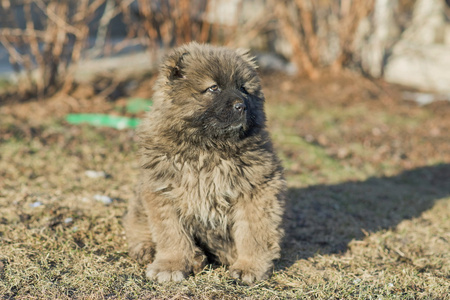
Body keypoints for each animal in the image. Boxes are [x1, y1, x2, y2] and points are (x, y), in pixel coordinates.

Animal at [124, 42, 284, 284]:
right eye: (213, 88)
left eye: (244, 89)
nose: (242, 106)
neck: (209, 148)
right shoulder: (164, 192)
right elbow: (171, 234)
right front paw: (170, 265)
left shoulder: (256, 189)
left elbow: (253, 233)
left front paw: (249, 267)